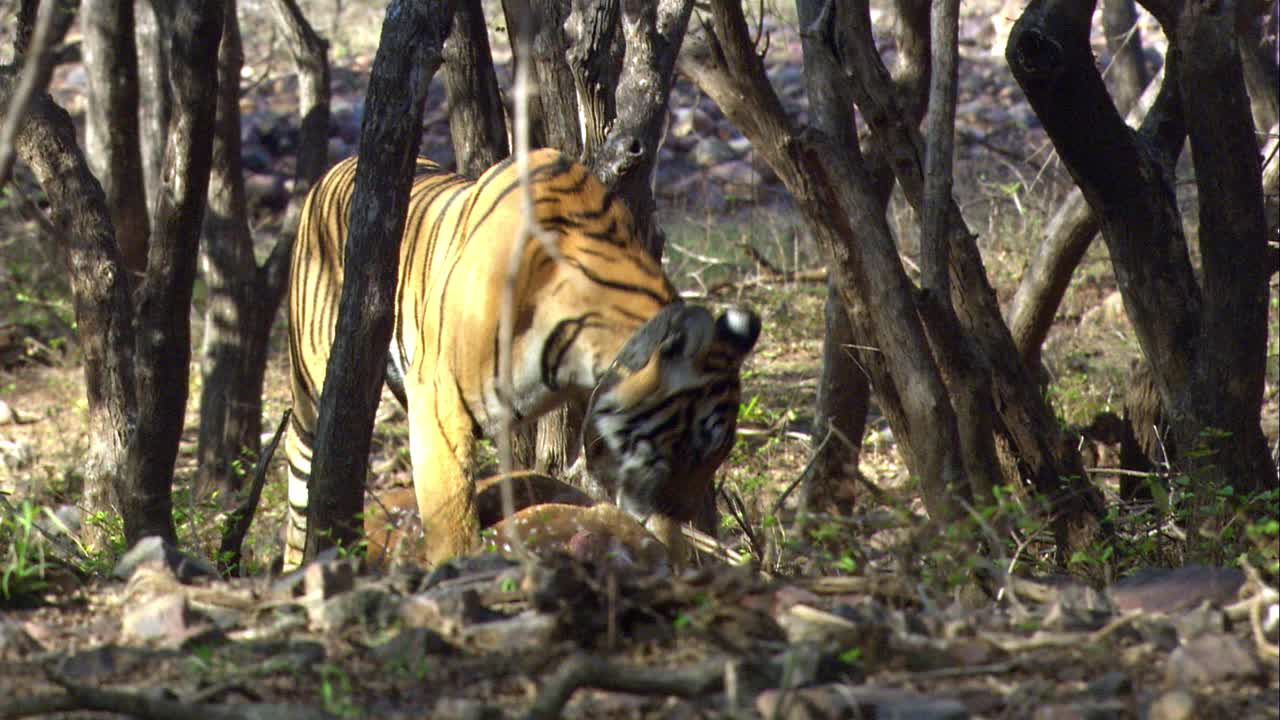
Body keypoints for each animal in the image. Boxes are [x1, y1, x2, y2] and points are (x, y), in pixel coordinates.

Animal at [284, 148, 752, 568]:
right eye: (698, 445)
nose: (689, 516)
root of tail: (336, 168)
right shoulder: (438, 402)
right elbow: (452, 521)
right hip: (313, 389)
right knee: (300, 474)